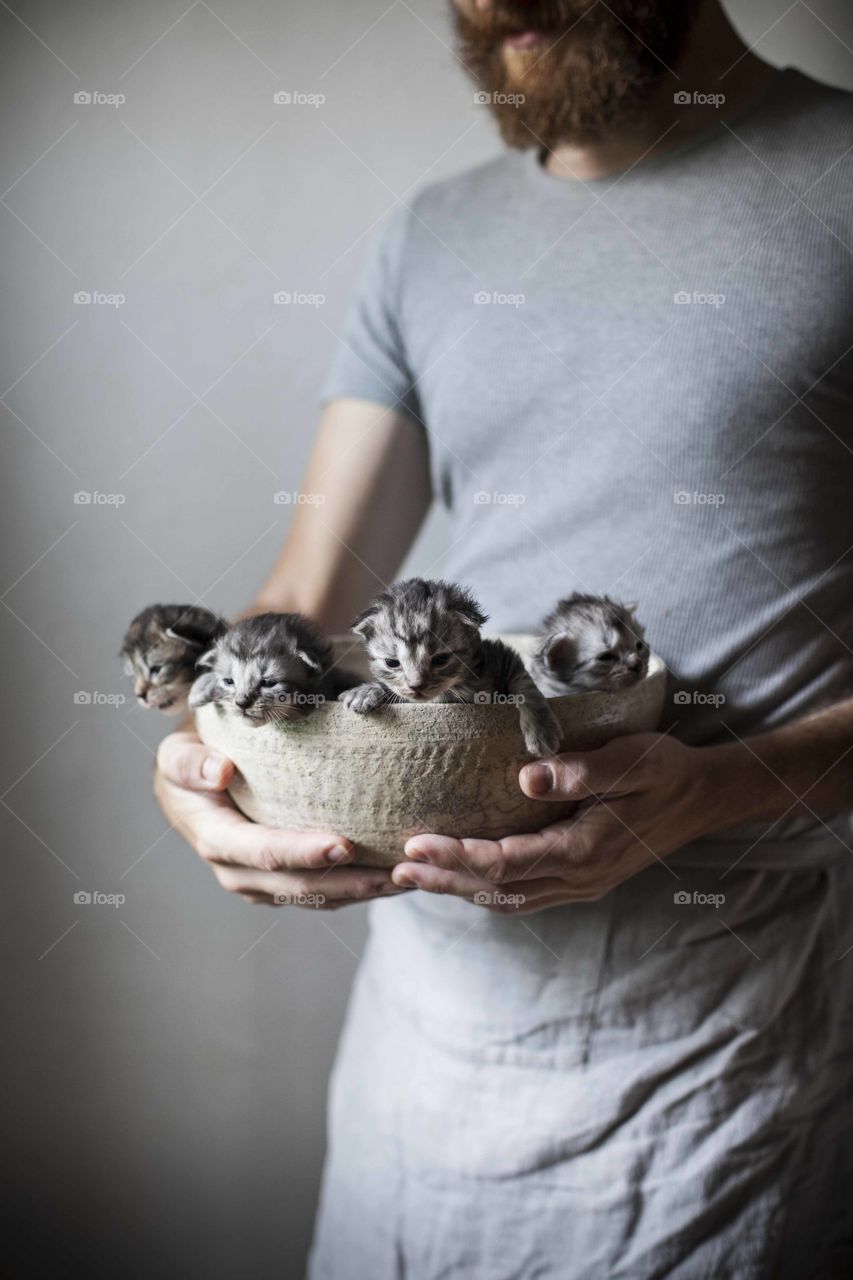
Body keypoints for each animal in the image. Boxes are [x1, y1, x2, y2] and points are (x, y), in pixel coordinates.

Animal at [343, 581, 560, 757]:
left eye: (440, 659)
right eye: (392, 663)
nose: (416, 686)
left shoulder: (502, 655)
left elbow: (525, 686)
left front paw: (542, 731)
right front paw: (365, 691)